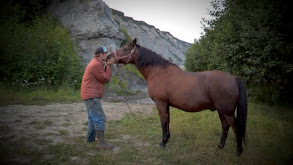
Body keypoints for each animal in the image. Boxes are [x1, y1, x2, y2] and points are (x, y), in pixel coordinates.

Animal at [108, 38, 245, 155]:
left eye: (125, 48)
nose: (109, 57)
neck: (158, 73)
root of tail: (234, 78)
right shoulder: (166, 104)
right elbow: (167, 120)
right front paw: (167, 139)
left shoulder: (160, 103)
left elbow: (163, 122)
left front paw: (163, 142)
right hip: (221, 111)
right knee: (225, 127)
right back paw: (220, 147)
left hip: (227, 112)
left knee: (236, 128)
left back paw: (239, 151)